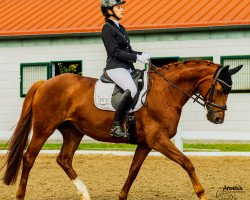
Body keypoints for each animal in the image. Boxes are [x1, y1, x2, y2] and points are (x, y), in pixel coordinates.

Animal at [0, 59, 241, 198]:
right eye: (221, 89)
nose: (217, 118)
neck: (165, 92)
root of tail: (45, 83)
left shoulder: (146, 143)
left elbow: (133, 171)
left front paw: (121, 195)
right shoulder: (158, 140)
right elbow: (187, 163)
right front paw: (201, 193)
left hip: (73, 132)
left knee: (64, 159)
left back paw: (85, 193)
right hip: (44, 128)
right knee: (29, 158)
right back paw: (21, 194)